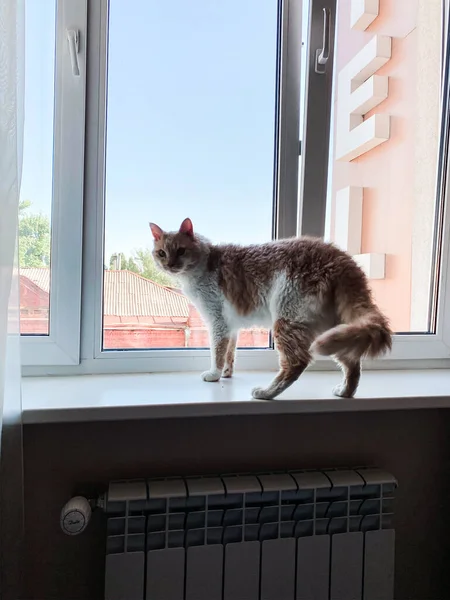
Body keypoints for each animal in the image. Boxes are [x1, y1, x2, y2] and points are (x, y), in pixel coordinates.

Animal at [149, 218, 392, 400]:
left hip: (287, 319)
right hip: (332, 331)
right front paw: (227, 374)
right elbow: (230, 354)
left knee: (296, 363)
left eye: (180, 251)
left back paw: (266, 393)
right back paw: (345, 392)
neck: (204, 263)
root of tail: (342, 259)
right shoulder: (231, 327)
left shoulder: (217, 322)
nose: (169, 265)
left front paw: (214, 374)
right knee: (352, 362)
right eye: (161, 253)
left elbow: (217, 353)